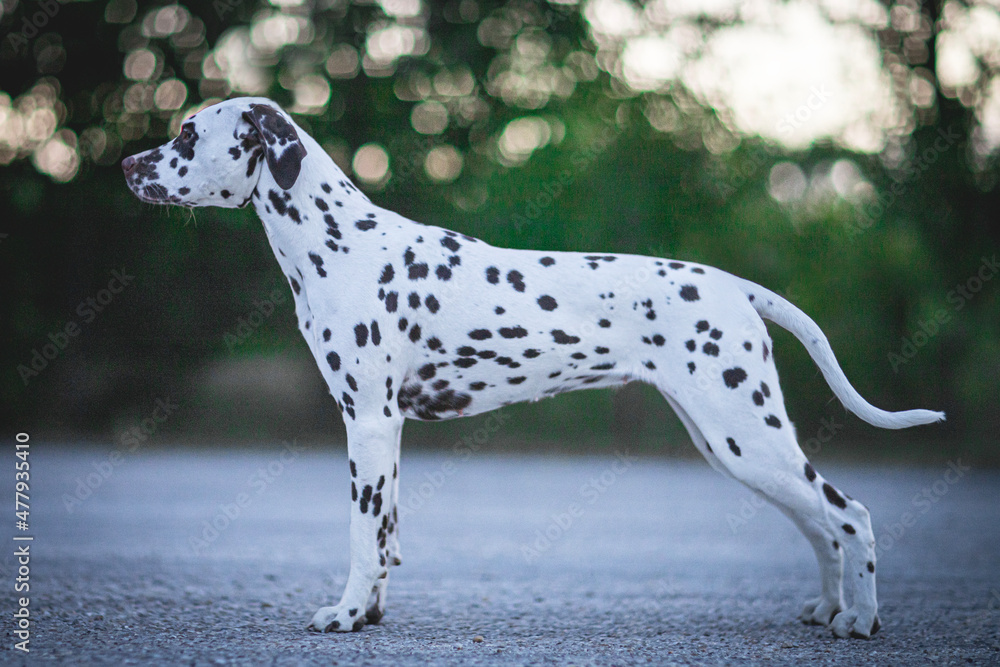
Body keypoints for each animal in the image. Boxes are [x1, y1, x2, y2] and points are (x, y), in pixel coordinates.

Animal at [121, 98, 940, 636]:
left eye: (188, 132)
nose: (127, 163)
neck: (340, 243)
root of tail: (737, 286)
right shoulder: (386, 433)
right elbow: (386, 535)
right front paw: (373, 612)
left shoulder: (368, 423)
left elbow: (361, 533)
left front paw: (347, 614)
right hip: (735, 445)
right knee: (820, 523)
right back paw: (831, 607)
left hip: (747, 438)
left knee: (849, 514)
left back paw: (860, 620)